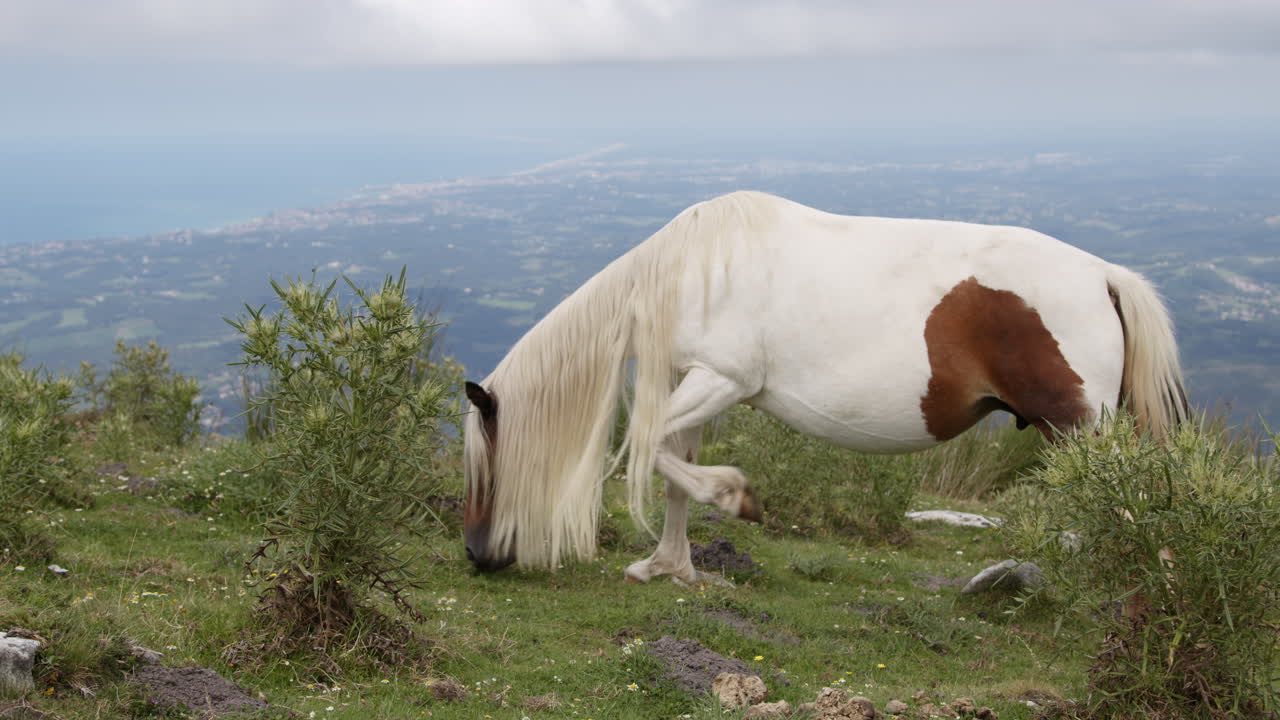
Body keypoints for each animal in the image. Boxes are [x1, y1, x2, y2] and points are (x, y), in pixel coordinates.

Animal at [462, 190, 1187, 583]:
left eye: (485, 464)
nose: (474, 555)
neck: (689, 271)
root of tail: (1104, 275)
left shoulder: (722, 380)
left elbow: (654, 455)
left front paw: (738, 497)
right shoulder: (698, 383)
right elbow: (673, 470)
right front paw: (668, 566)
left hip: (1080, 431)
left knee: (1128, 510)